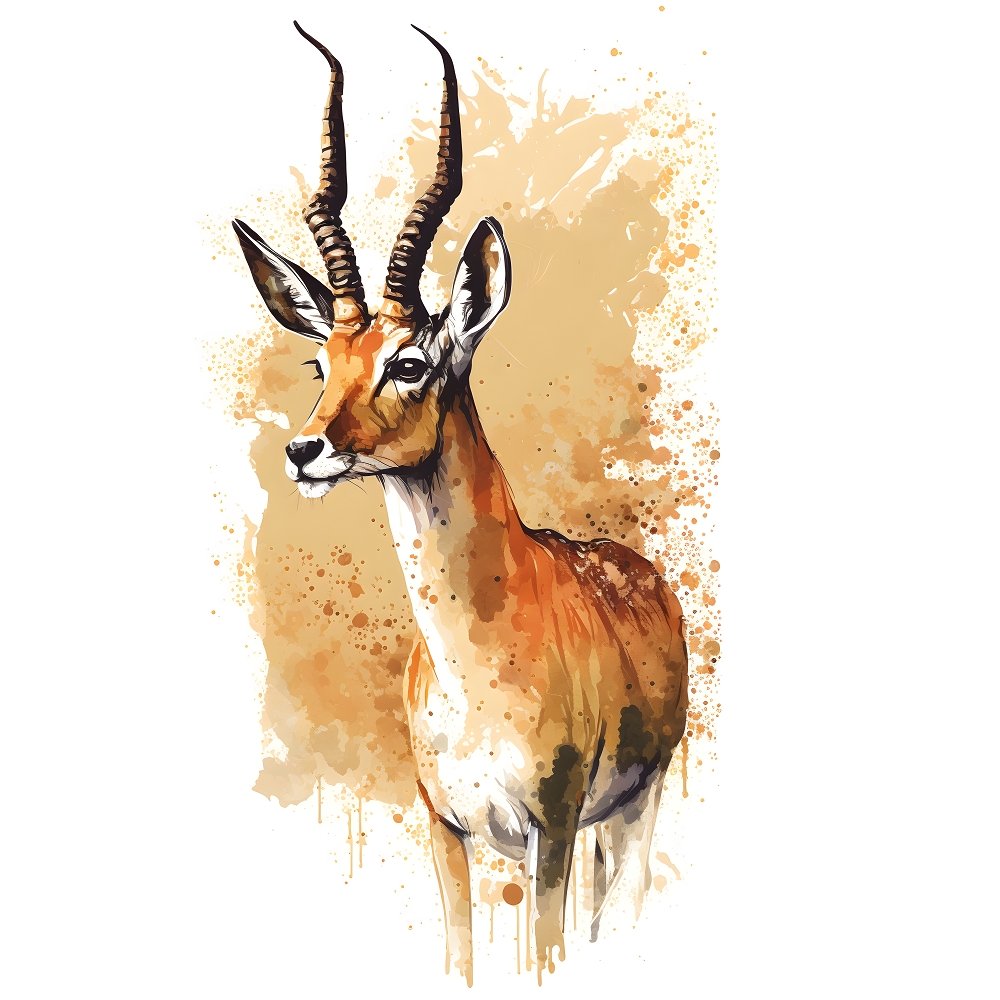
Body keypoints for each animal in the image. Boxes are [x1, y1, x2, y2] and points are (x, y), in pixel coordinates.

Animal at [234, 22, 689, 985]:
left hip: (635, 808)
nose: (304, 450)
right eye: (321, 361)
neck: (480, 663)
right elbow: (460, 956)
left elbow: (546, 954)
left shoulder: (550, 829)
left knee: (619, 914)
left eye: (409, 360)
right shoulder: (447, 828)